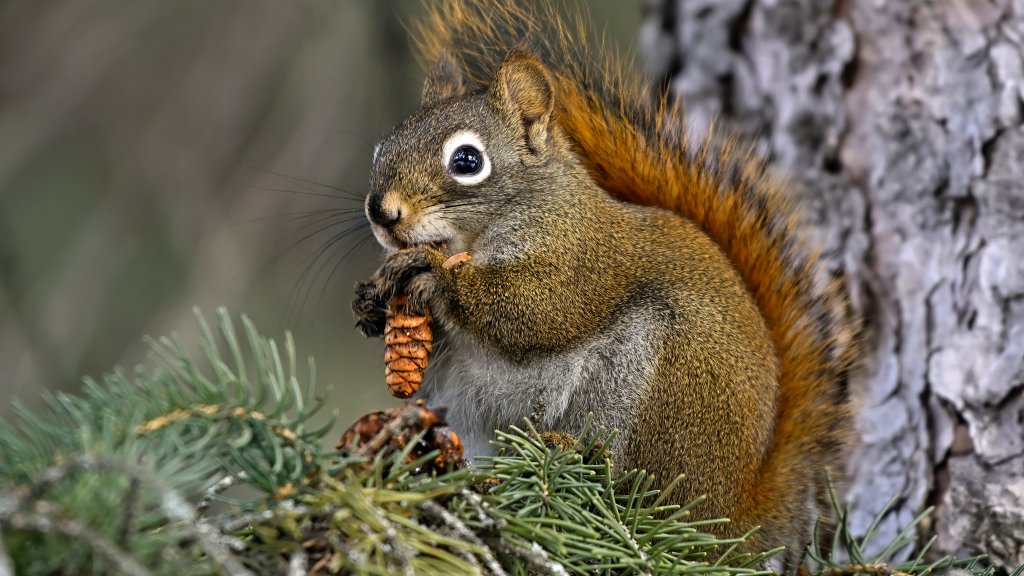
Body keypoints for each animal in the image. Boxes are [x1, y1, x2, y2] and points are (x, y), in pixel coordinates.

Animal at [351, 0, 856, 567]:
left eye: (467, 160)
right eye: (380, 150)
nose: (381, 212)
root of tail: (736, 516)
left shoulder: (583, 261)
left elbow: (536, 309)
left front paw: (434, 277)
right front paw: (371, 300)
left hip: (661, 379)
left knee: (645, 490)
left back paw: (577, 457)